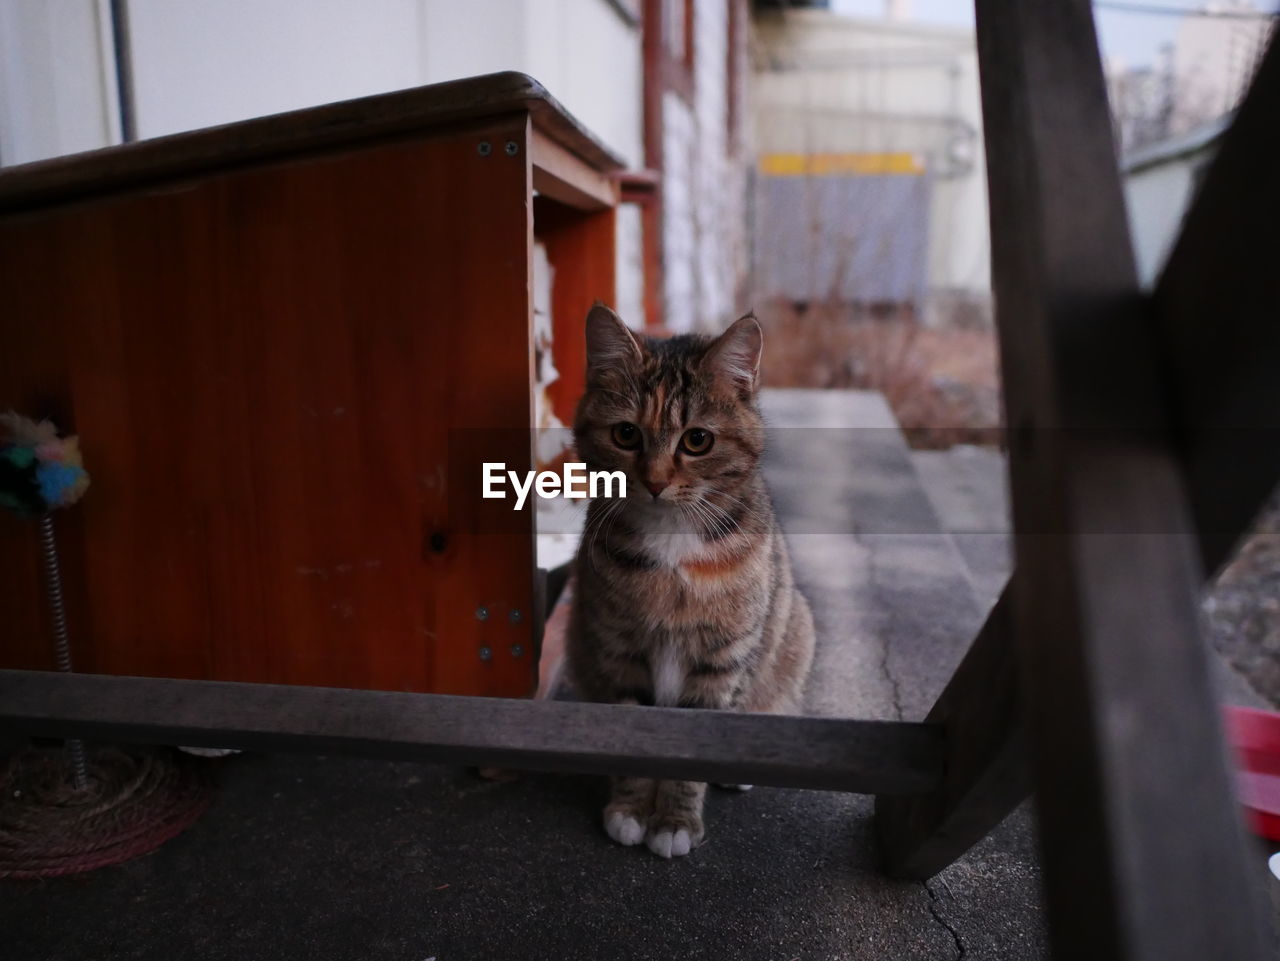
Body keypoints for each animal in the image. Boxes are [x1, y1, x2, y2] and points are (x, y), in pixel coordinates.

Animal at [568, 304, 814, 859]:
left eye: (697, 440)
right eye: (626, 434)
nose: (656, 482)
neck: (671, 539)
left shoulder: (722, 659)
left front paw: (674, 820)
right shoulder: (620, 649)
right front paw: (630, 810)